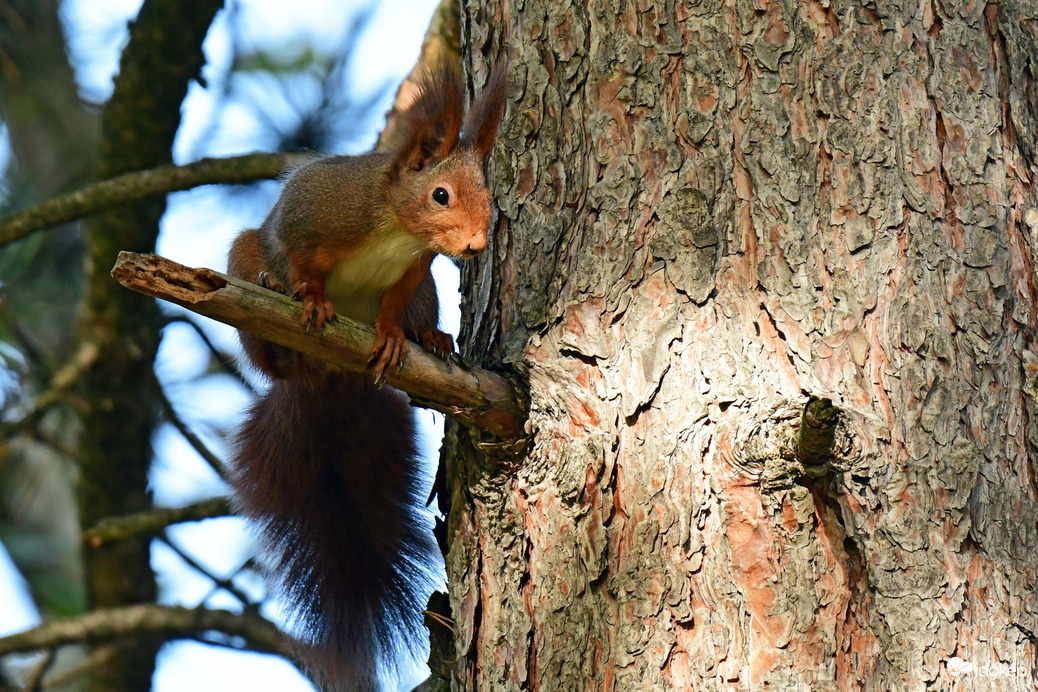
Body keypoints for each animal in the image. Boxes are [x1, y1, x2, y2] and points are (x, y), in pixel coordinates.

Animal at [226, 60, 506, 692]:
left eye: (490, 198)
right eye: (441, 195)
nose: (477, 243)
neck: (396, 228)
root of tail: (330, 378)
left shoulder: (413, 274)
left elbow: (391, 308)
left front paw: (395, 338)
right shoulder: (311, 216)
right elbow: (299, 260)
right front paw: (307, 297)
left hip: (429, 297)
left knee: (419, 318)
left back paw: (432, 340)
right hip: (243, 260)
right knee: (264, 326)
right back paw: (281, 336)